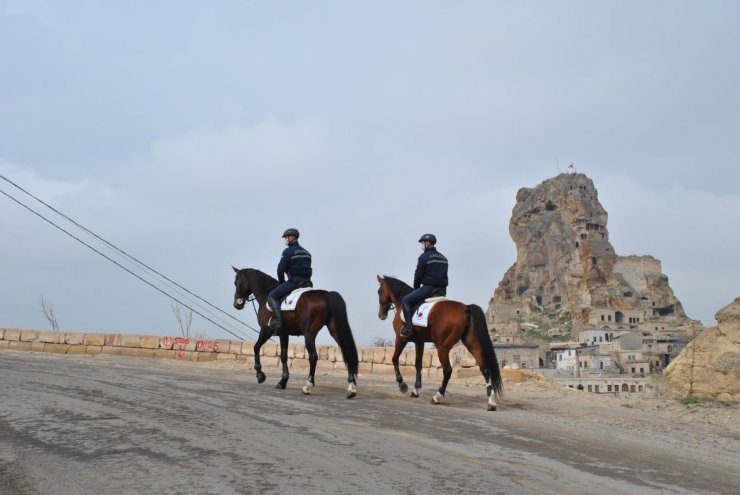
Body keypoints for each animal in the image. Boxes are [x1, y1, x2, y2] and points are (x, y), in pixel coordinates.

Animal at [231, 268, 358, 400]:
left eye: (236, 283)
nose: (236, 304)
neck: (266, 294)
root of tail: (327, 295)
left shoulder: (266, 330)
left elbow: (256, 348)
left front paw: (260, 375)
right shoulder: (283, 333)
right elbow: (283, 355)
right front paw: (282, 382)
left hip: (309, 333)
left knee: (313, 356)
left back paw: (307, 386)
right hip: (334, 330)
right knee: (346, 352)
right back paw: (351, 388)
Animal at [376, 276, 502, 410]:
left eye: (380, 291)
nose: (381, 315)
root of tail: (465, 308)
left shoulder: (400, 339)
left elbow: (394, 359)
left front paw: (402, 384)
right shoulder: (419, 342)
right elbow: (418, 364)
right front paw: (416, 390)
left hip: (442, 347)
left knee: (447, 370)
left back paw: (437, 396)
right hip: (472, 345)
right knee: (484, 368)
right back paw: (491, 402)